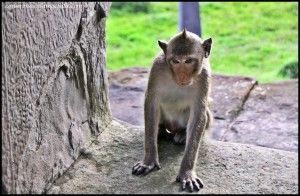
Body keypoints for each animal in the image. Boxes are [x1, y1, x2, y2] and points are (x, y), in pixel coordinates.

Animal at [132, 29, 213, 193]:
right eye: (175, 61)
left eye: (188, 61)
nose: (181, 75)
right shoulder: (157, 68)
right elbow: (151, 104)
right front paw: (149, 160)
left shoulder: (204, 76)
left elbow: (198, 114)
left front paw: (187, 173)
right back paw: (162, 131)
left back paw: (181, 134)